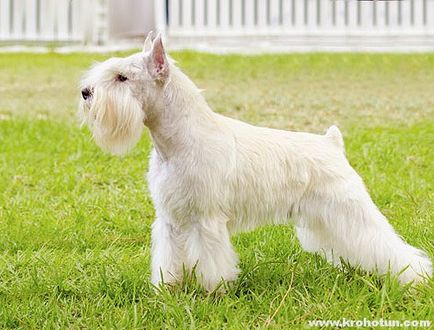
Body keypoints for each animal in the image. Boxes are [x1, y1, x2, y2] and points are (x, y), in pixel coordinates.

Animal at [79, 32, 432, 290]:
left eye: (122, 78)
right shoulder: (170, 219)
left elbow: (211, 262)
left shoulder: (206, 221)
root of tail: (332, 143)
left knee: (385, 244)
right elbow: (169, 259)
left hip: (351, 210)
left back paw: (416, 277)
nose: (86, 92)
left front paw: (213, 292)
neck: (176, 141)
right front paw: (168, 290)